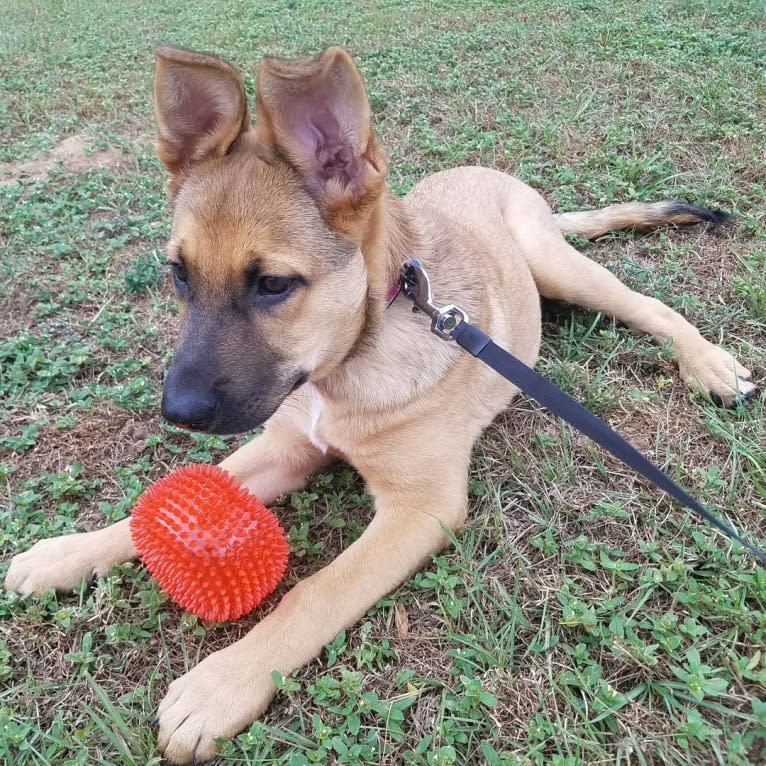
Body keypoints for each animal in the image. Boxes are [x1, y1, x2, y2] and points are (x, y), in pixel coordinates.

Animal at [1, 45, 756, 764]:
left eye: (273, 284)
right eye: (178, 274)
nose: (177, 412)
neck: (346, 366)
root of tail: (497, 178)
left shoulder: (421, 508)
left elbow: (313, 592)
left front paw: (219, 686)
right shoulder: (284, 447)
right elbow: (148, 511)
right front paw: (67, 555)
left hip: (557, 266)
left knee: (653, 307)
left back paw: (710, 363)